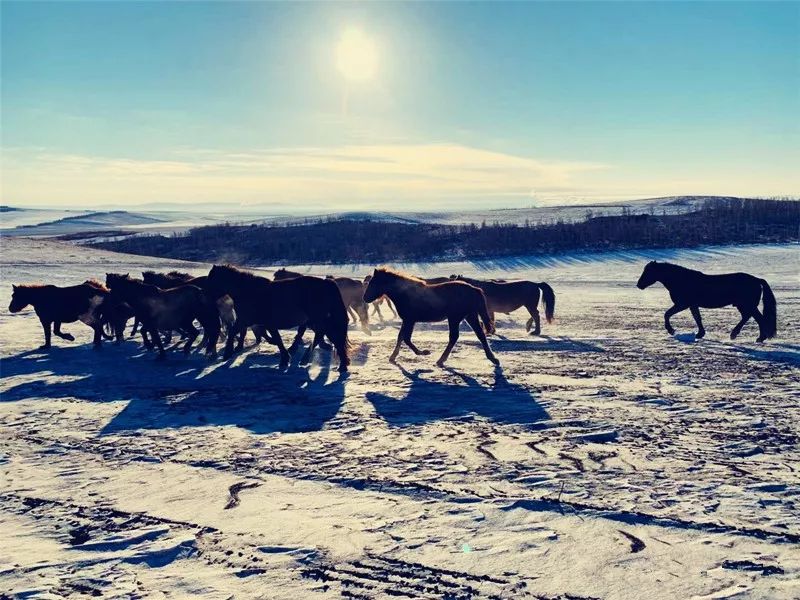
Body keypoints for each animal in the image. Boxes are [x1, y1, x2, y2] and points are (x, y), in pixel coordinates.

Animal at [205, 266, 348, 370]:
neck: (248, 291)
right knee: (327, 336)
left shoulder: (252, 321)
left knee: (329, 336)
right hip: (317, 320)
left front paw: (227, 353)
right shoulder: (256, 322)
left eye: (212, 280)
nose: (205, 298)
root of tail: (326, 283)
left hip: (318, 320)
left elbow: (236, 332)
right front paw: (285, 358)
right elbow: (274, 338)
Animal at [364, 268, 500, 370]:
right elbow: (401, 337)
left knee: (454, 337)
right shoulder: (408, 320)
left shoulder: (409, 320)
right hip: (469, 316)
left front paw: (423, 352)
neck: (404, 293)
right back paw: (493, 358)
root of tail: (474, 289)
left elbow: (406, 338)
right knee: (480, 335)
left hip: (455, 318)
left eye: (373, 283)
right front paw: (393, 357)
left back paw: (441, 360)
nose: (365, 298)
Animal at [636, 262, 780, 342]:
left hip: (747, 305)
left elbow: (667, 314)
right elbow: (697, 318)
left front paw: (671, 330)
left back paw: (758, 338)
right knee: (749, 317)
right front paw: (700, 334)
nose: (639, 285)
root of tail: (757, 280)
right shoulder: (692, 305)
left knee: (758, 318)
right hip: (744, 305)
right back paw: (738, 334)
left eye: (648, 271)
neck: (681, 280)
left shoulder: (682, 304)